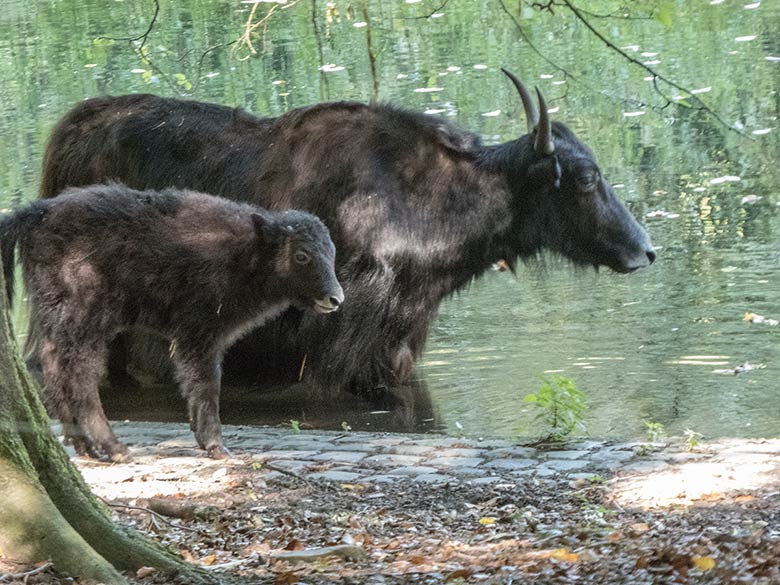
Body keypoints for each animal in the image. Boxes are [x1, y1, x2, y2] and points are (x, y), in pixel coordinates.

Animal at [0, 185, 342, 458]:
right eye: (301, 255)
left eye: (332, 250)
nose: (335, 298)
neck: (246, 250)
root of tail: (38, 213)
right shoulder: (199, 336)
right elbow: (206, 385)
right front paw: (217, 447)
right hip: (86, 321)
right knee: (79, 374)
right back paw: (114, 448)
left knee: (51, 365)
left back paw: (85, 447)